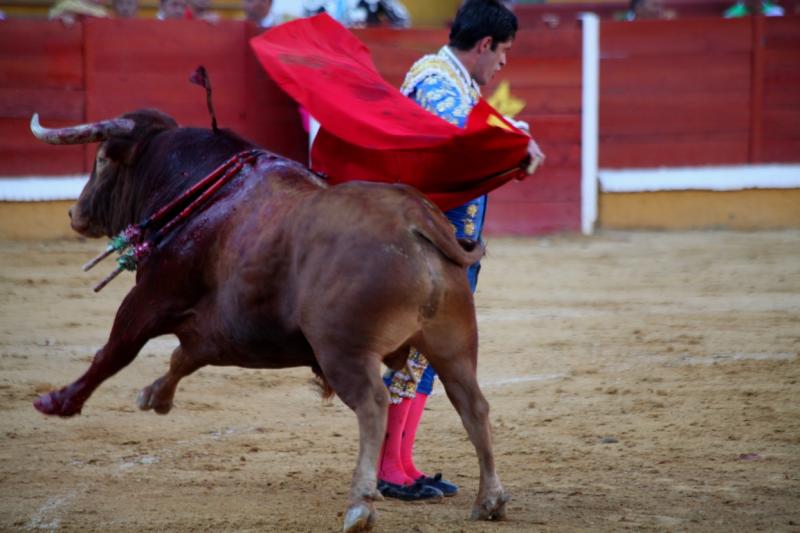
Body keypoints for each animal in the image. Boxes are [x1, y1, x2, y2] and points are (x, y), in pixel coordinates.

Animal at [31, 109, 510, 532]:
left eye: (101, 160)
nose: (74, 213)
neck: (205, 193)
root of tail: (414, 220)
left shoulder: (151, 296)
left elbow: (115, 349)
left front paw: (59, 401)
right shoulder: (222, 328)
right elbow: (182, 357)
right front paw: (154, 396)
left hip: (344, 351)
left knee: (375, 404)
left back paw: (360, 505)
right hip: (452, 343)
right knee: (472, 404)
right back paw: (489, 500)